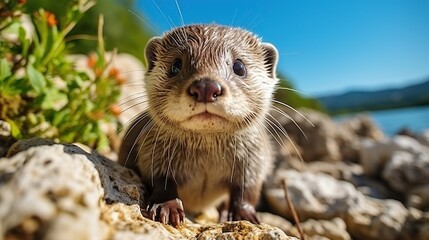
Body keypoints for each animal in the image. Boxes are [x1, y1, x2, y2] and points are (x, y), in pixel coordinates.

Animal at [118, 23, 278, 226]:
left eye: (239, 66)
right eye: (176, 64)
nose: (206, 87)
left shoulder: (255, 161)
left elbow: (247, 191)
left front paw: (245, 216)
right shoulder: (152, 153)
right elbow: (161, 182)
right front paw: (167, 207)